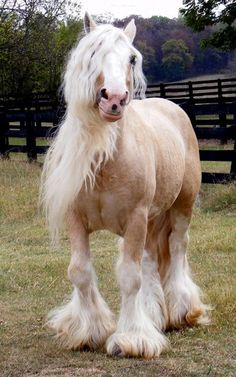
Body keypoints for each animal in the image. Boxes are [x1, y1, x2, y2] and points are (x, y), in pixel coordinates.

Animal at [40, 12, 208, 358]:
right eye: (93, 53)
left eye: (131, 58)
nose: (114, 99)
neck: (106, 163)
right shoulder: (77, 221)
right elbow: (80, 272)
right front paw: (88, 331)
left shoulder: (134, 219)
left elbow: (130, 278)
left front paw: (131, 339)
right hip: (153, 219)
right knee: (151, 260)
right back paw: (155, 315)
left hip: (181, 207)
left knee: (177, 249)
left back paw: (182, 311)